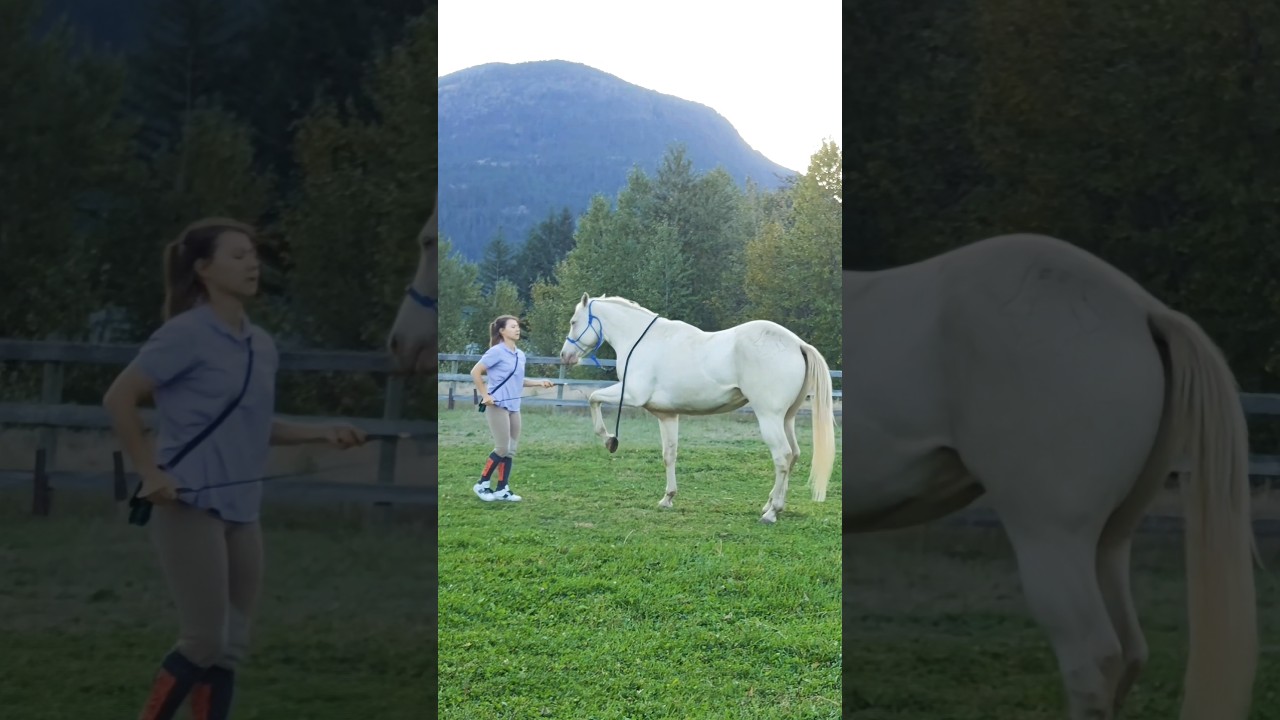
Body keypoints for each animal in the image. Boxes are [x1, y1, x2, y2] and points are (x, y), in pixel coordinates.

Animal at [557, 293, 837, 523]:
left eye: (573, 321)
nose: (565, 356)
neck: (642, 342)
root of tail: (797, 344)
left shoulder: (632, 395)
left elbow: (594, 398)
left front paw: (609, 439)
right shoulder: (667, 415)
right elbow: (669, 455)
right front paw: (668, 498)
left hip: (769, 417)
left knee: (782, 456)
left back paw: (771, 512)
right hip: (786, 418)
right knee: (794, 455)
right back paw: (771, 504)